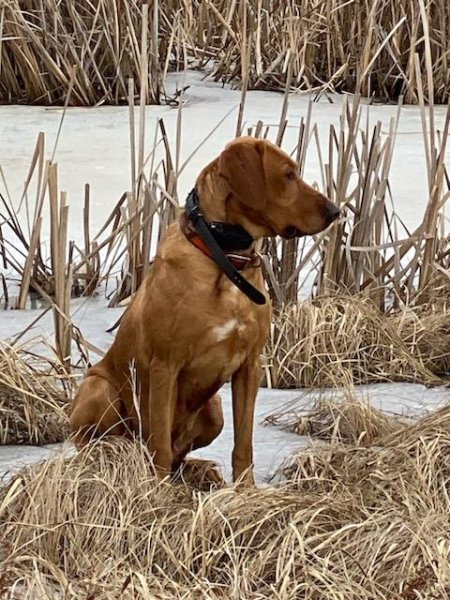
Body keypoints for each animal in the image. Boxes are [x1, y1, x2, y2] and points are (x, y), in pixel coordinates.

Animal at [69, 136, 338, 482]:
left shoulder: (250, 365)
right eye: (289, 174)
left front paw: (245, 489)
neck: (225, 255)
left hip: (214, 410)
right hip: (100, 389)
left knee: (179, 455)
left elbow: (243, 443)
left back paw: (199, 470)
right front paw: (157, 490)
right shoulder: (164, 365)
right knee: (117, 445)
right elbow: (159, 444)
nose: (335, 211)